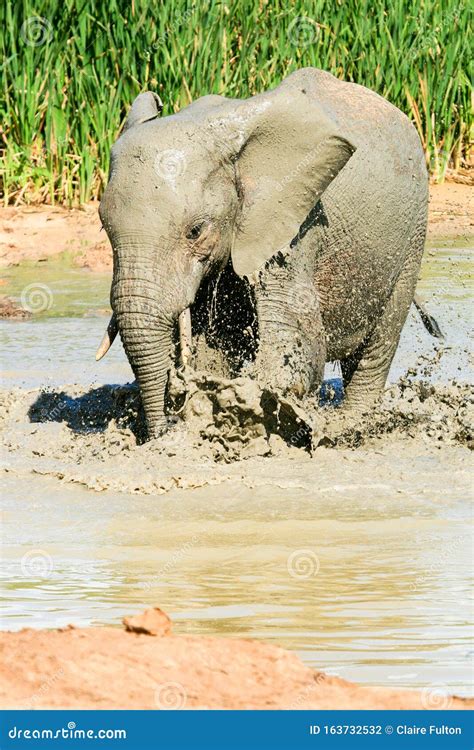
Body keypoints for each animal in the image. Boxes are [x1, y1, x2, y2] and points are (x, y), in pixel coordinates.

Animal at [97, 66, 440, 440]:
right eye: (104, 227)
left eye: (195, 231)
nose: (161, 433)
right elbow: (214, 349)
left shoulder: (296, 222)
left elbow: (296, 346)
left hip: (413, 232)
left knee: (379, 341)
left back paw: (352, 425)